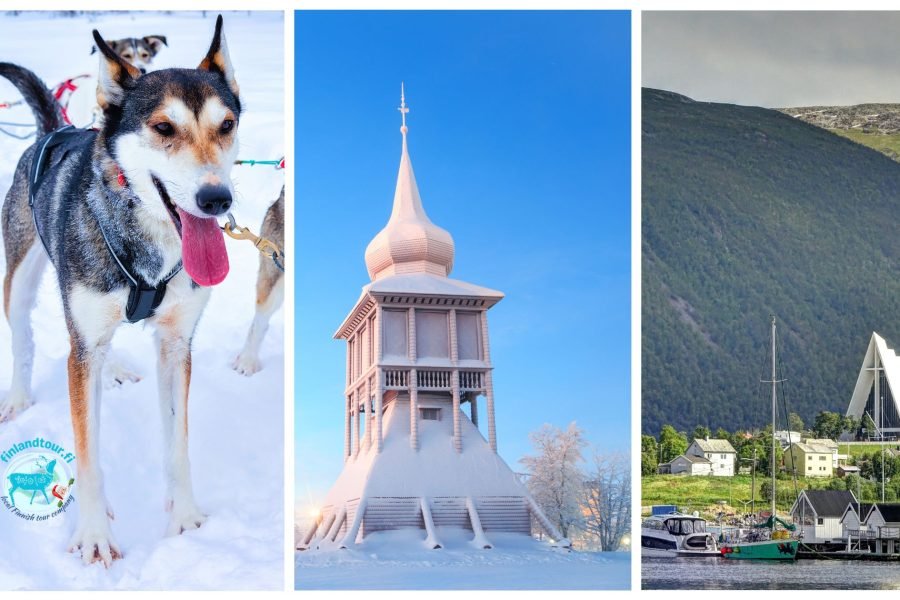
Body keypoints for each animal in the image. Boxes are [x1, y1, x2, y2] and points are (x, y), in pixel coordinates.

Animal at [0, 15, 239, 568]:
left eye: (226, 125)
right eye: (164, 128)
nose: (217, 199)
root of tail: (53, 130)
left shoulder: (176, 344)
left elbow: (178, 442)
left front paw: (185, 519)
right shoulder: (82, 346)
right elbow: (87, 454)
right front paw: (93, 534)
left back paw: (115, 371)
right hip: (20, 284)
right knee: (25, 341)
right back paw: (20, 396)